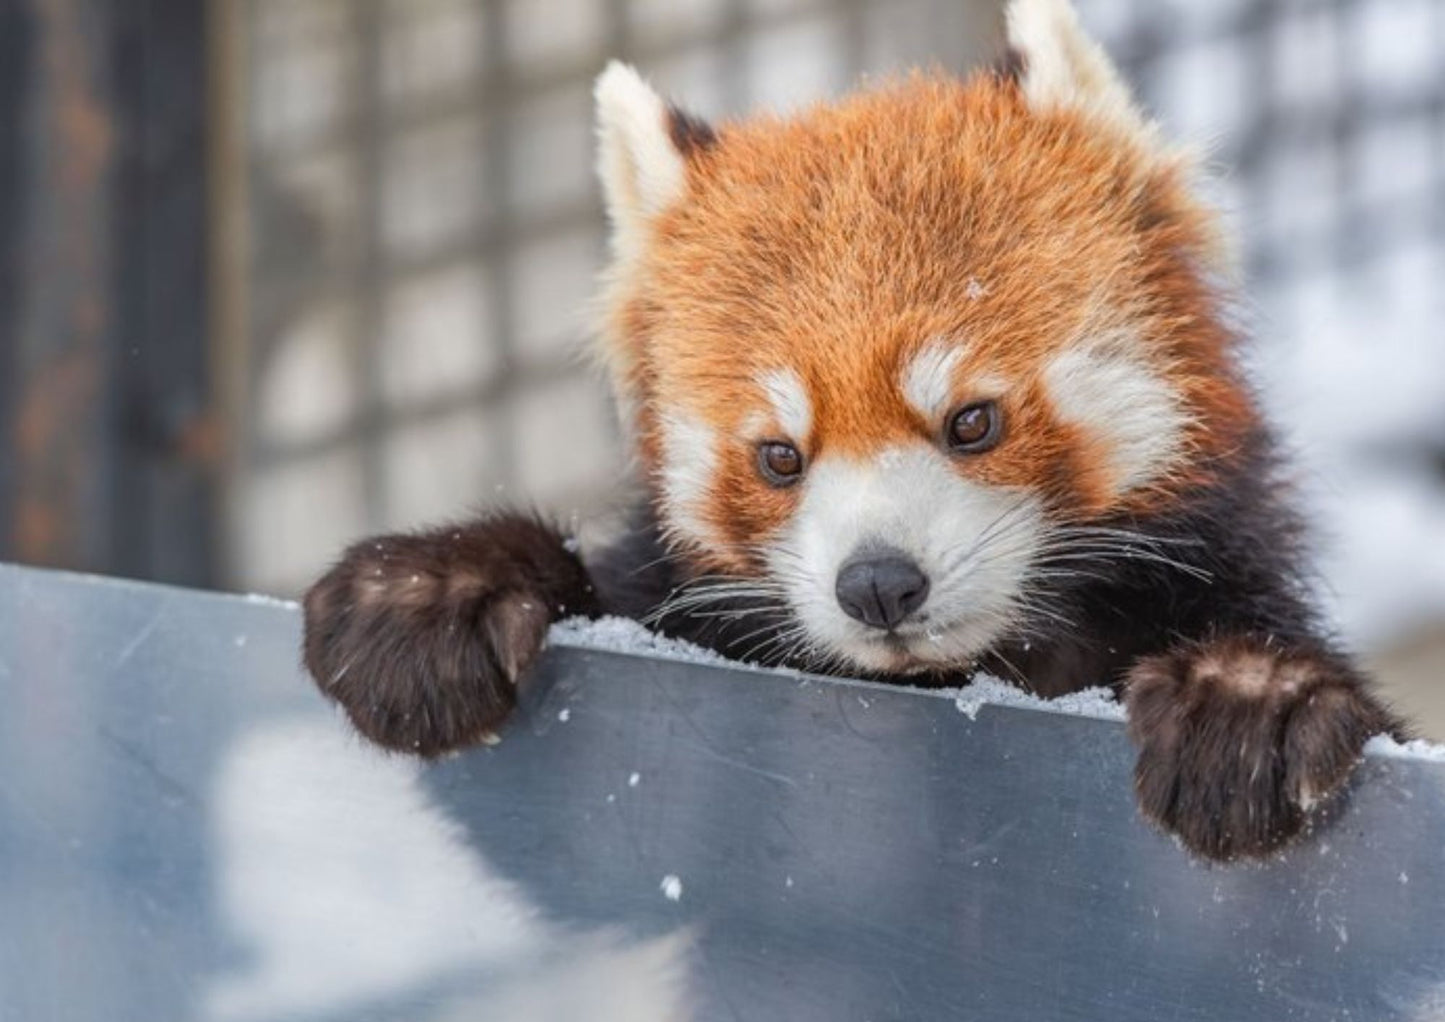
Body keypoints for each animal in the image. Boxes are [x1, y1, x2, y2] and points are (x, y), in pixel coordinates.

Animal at [302, 0, 1398, 861]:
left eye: (971, 420)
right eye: (778, 456)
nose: (876, 583)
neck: (960, 674)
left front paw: (1248, 698)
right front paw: (431, 592)